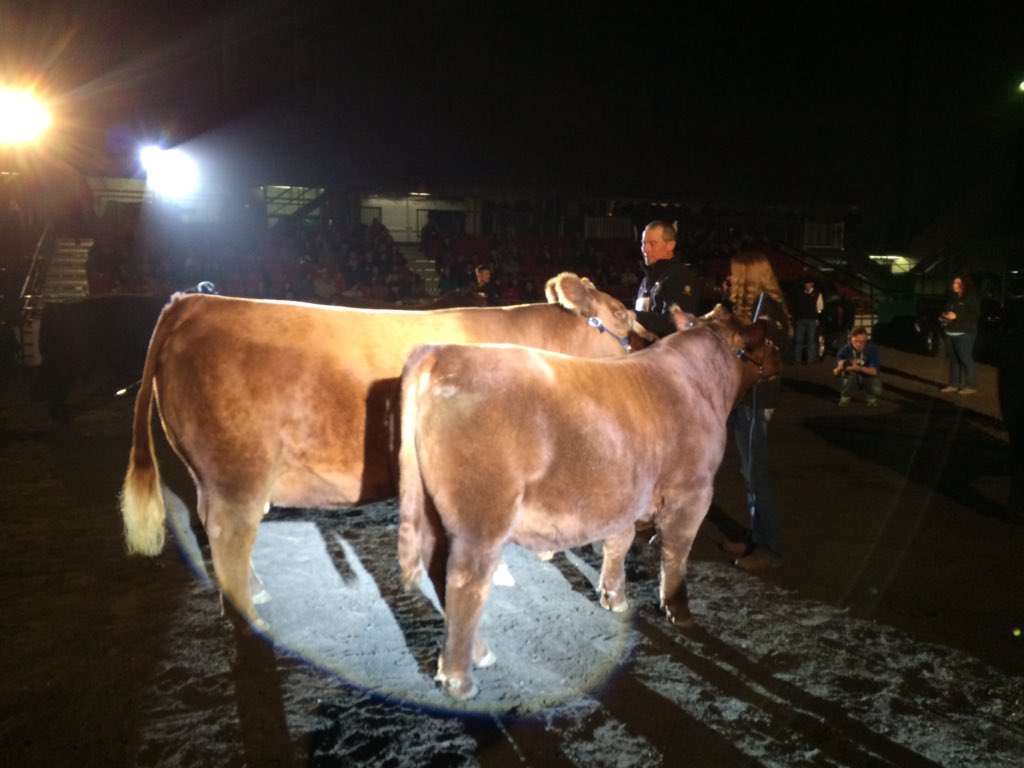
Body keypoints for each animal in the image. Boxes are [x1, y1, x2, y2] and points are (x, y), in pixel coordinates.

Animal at [120, 273, 652, 627]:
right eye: (623, 315)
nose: (648, 354)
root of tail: (191, 302)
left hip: (211, 479)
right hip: (237, 478)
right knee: (228, 541)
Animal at [396, 304, 782, 699]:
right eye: (767, 339)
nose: (780, 356)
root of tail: (443, 354)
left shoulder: (625, 493)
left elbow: (619, 542)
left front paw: (613, 595)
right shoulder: (693, 492)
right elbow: (676, 553)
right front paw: (678, 611)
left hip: (433, 512)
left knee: (439, 575)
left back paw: (476, 653)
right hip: (481, 520)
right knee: (464, 584)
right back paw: (460, 678)